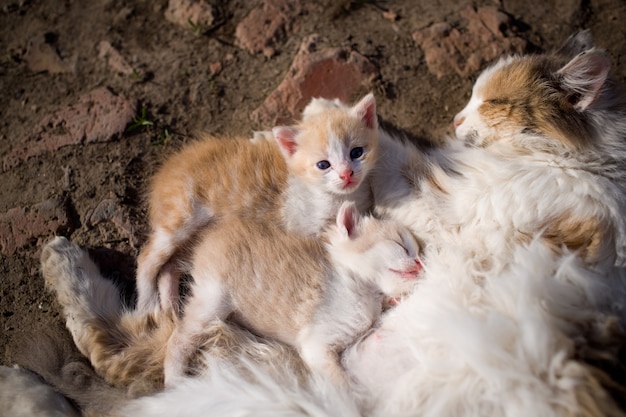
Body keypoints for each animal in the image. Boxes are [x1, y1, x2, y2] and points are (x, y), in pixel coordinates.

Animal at [136, 93, 378, 312]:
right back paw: (148, 305)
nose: (346, 174)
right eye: (323, 165)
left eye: (357, 152)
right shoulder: (302, 228)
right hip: (180, 216)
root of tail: (165, 171)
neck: (331, 196)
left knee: (169, 267)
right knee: (146, 259)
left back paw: (170, 307)